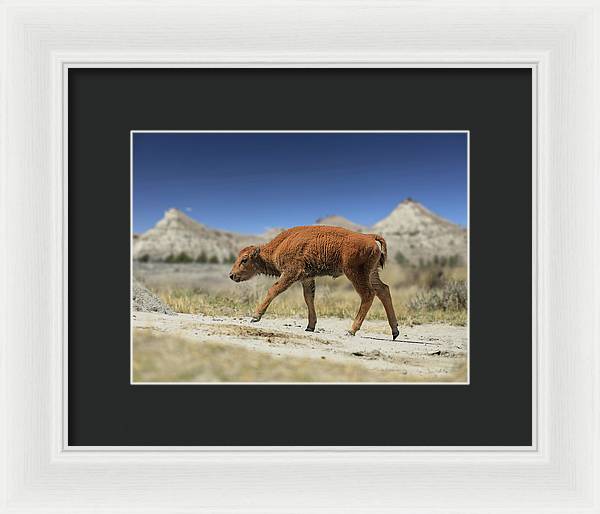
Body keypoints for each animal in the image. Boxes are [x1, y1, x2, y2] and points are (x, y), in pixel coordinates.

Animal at [229, 225, 398, 338]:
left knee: (368, 294)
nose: (231, 275)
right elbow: (309, 298)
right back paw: (395, 331)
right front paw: (310, 327)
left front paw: (255, 316)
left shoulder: (291, 273)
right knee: (383, 290)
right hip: (372, 274)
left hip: (355, 274)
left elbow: (274, 290)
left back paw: (351, 330)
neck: (278, 247)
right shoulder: (307, 278)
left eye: (244, 259)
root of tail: (369, 237)